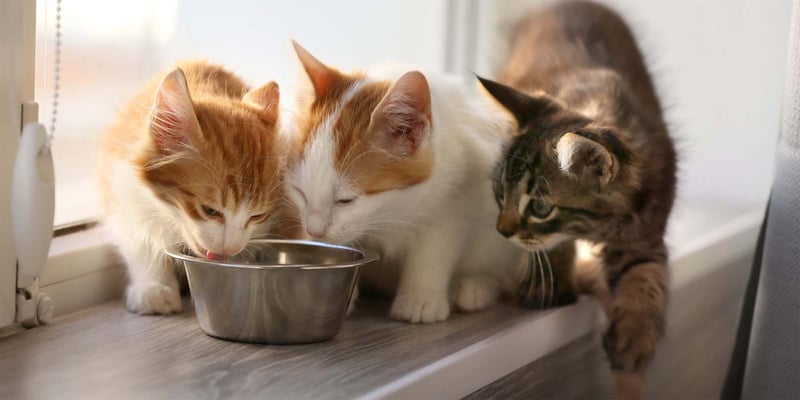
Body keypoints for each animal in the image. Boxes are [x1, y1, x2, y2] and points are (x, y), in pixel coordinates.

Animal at [99, 61, 288, 314]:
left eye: (257, 216)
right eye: (210, 211)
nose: (229, 249)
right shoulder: (121, 189)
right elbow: (139, 241)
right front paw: (154, 287)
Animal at [284, 43, 528, 324]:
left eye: (346, 200)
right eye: (300, 192)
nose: (314, 231)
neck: (391, 210)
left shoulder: (456, 197)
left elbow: (434, 248)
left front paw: (421, 297)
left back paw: (474, 287)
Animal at [478, 1, 680, 398]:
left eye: (540, 207)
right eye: (500, 193)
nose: (501, 230)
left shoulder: (646, 235)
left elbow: (646, 279)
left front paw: (635, 338)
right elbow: (555, 245)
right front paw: (549, 284)